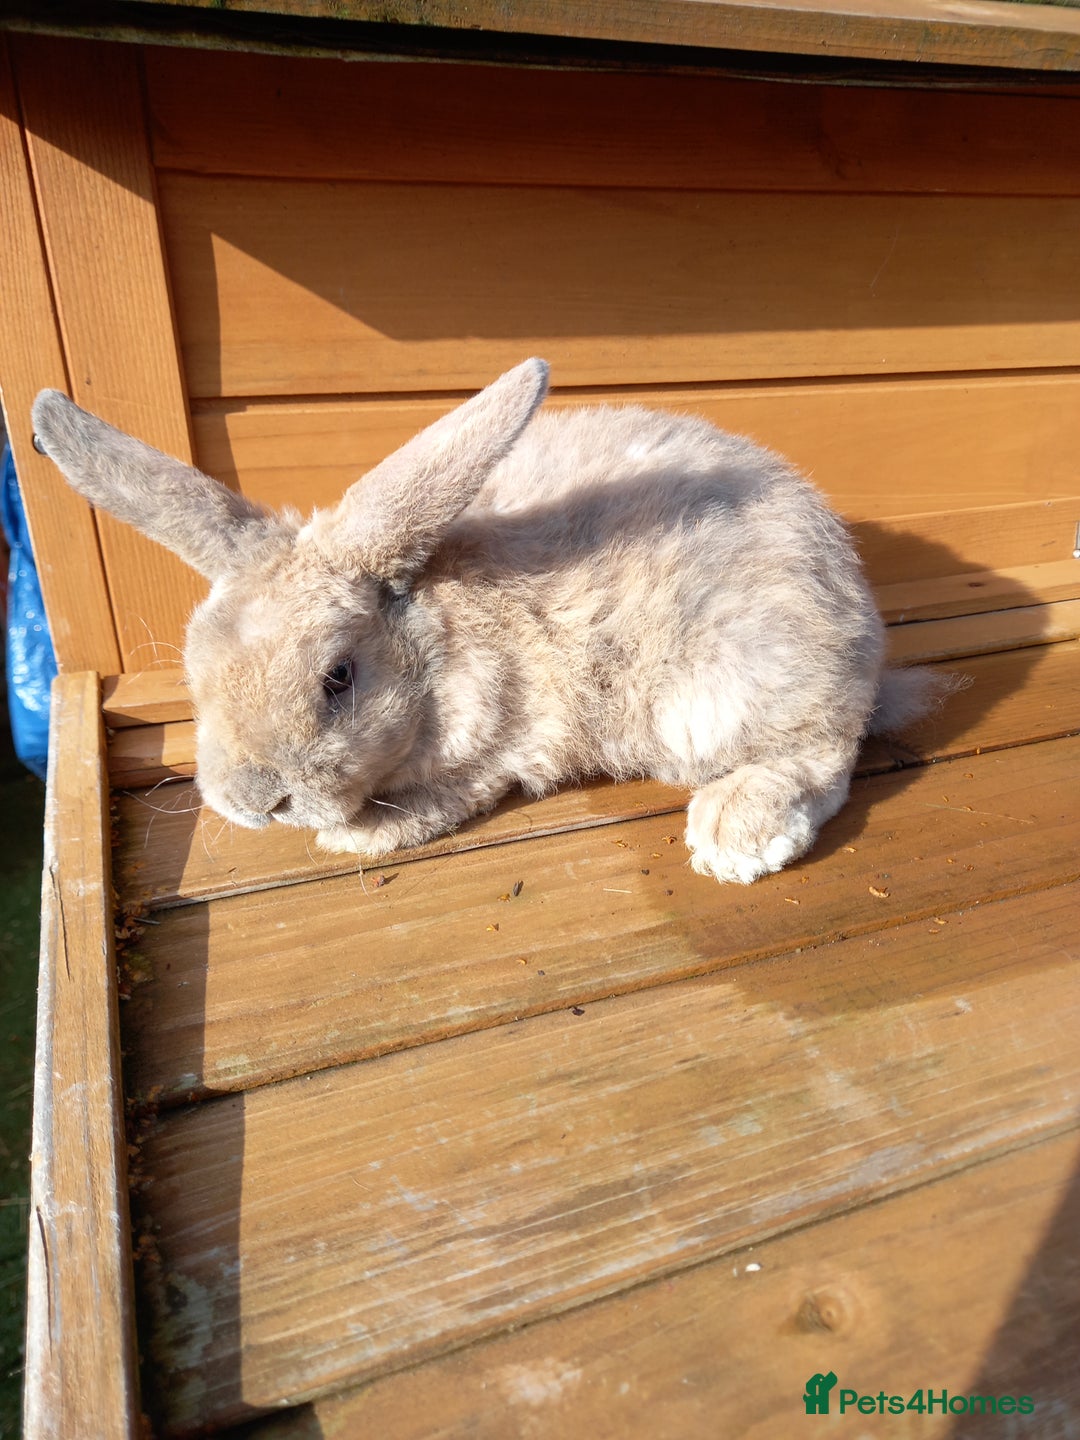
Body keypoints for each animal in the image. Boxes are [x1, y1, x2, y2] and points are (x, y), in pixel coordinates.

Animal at [31, 359, 942, 884]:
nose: (254, 801)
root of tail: (852, 601)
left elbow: (447, 794)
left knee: (823, 752)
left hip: (738, 680)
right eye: (193, 670)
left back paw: (734, 832)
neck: (439, 649)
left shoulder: (503, 744)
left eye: (338, 677)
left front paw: (359, 838)